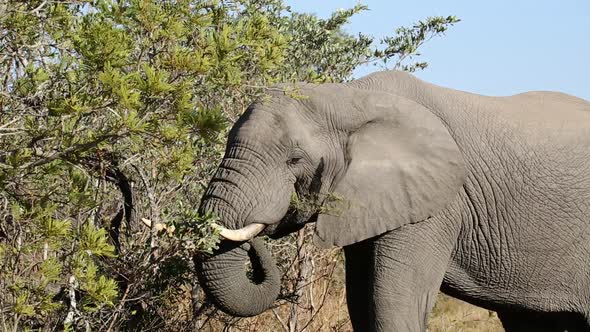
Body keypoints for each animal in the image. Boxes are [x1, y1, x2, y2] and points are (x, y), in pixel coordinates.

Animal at [195, 70, 590, 332]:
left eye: (295, 159)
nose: (255, 244)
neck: (349, 96)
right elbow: (360, 303)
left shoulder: (436, 203)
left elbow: (392, 302)